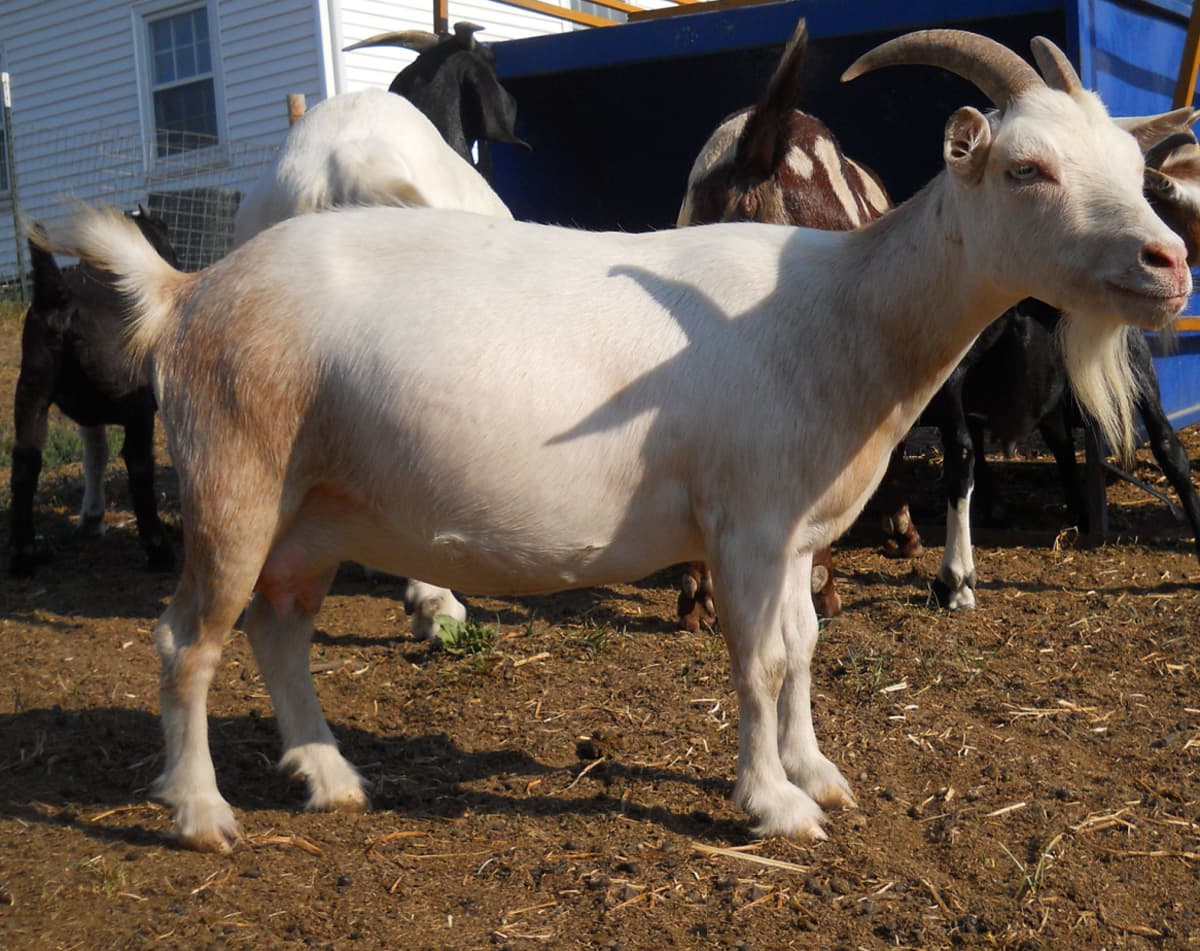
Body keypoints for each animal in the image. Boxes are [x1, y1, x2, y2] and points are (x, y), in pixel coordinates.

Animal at [9, 208, 177, 577]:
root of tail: (62, 302)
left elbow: (95, 454)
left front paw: (91, 520)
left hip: (31, 390)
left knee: (26, 462)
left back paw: (26, 554)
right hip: (136, 404)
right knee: (138, 463)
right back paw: (159, 549)